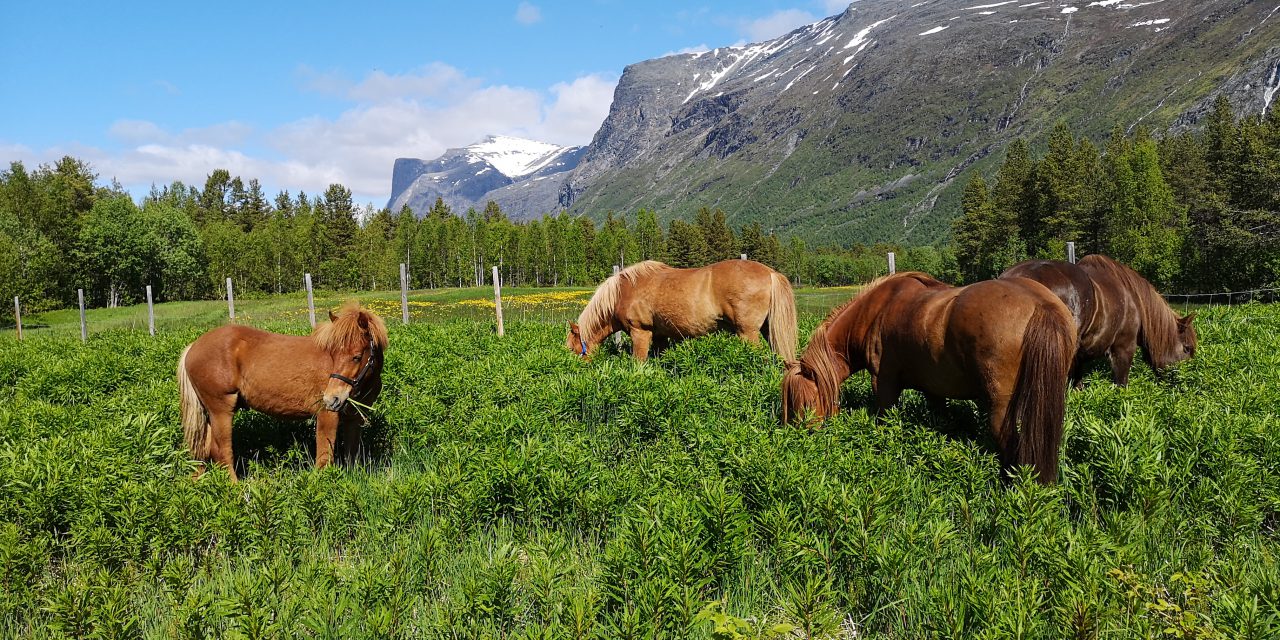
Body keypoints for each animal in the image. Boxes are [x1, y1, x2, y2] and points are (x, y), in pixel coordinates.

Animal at [175, 303, 386, 481]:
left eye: (357, 357)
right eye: (333, 354)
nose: (331, 399)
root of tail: (193, 347)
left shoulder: (354, 420)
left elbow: (352, 453)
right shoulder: (327, 415)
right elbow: (324, 455)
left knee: (203, 449)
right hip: (221, 411)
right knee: (222, 451)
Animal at [568, 258, 793, 360]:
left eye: (572, 349)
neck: (623, 292)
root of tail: (771, 273)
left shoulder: (640, 332)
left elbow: (638, 363)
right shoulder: (659, 336)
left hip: (748, 333)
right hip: (767, 330)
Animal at [783, 271, 1075, 483]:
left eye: (805, 402)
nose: (801, 438)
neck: (875, 311)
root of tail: (1040, 305)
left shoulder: (884, 384)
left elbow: (885, 421)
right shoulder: (934, 391)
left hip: (1001, 409)